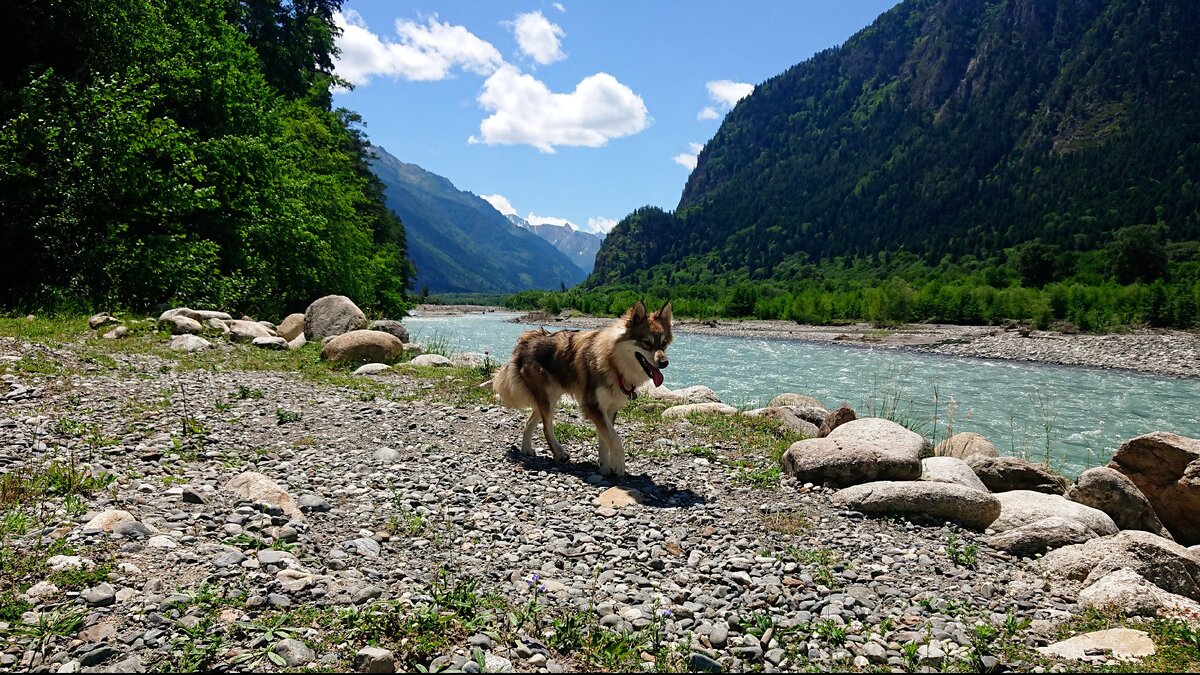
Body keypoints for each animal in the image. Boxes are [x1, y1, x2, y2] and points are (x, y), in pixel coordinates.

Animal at [489, 299, 676, 473]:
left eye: (664, 343)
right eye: (647, 343)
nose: (665, 363)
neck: (614, 363)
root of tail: (526, 339)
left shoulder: (609, 409)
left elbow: (605, 439)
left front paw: (605, 467)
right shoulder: (592, 405)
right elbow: (614, 439)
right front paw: (618, 465)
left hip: (550, 397)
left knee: (530, 421)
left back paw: (526, 448)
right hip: (548, 398)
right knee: (546, 428)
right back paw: (559, 453)